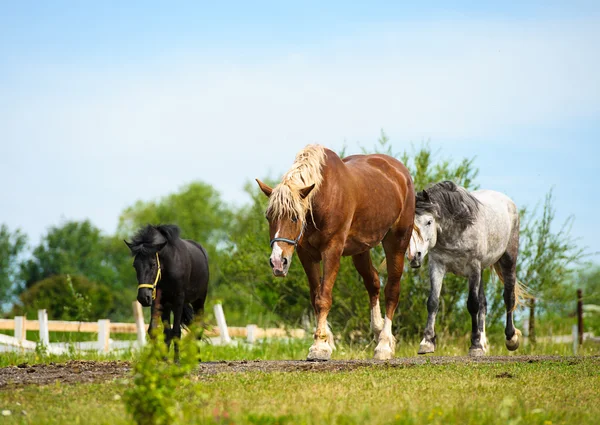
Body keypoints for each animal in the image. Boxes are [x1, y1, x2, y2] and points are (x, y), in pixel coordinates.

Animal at [124, 224, 209, 356]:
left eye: (153, 264)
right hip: (168, 305)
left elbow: (176, 332)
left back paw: (198, 357)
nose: (143, 297)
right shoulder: (157, 300)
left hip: (199, 301)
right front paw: (159, 358)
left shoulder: (178, 300)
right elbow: (154, 330)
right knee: (168, 332)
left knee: (198, 329)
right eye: (135, 265)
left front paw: (176, 360)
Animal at [255, 144, 414, 360]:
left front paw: (319, 346)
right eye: (268, 217)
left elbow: (323, 298)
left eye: (295, 217)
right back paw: (378, 329)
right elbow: (315, 296)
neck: (323, 197)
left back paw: (384, 345)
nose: (278, 262)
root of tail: (401, 172)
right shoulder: (306, 255)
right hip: (360, 250)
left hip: (396, 241)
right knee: (373, 282)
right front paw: (326, 342)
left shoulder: (332, 250)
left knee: (392, 290)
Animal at [408, 181, 524, 356]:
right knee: (484, 304)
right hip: (482, 270)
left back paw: (511, 338)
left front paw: (474, 345)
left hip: (508, 259)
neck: (458, 229)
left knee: (508, 296)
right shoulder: (437, 266)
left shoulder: (473, 267)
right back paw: (483, 343)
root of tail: (508, 202)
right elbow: (433, 302)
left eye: (429, 222)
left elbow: (473, 305)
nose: (414, 256)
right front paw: (427, 342)